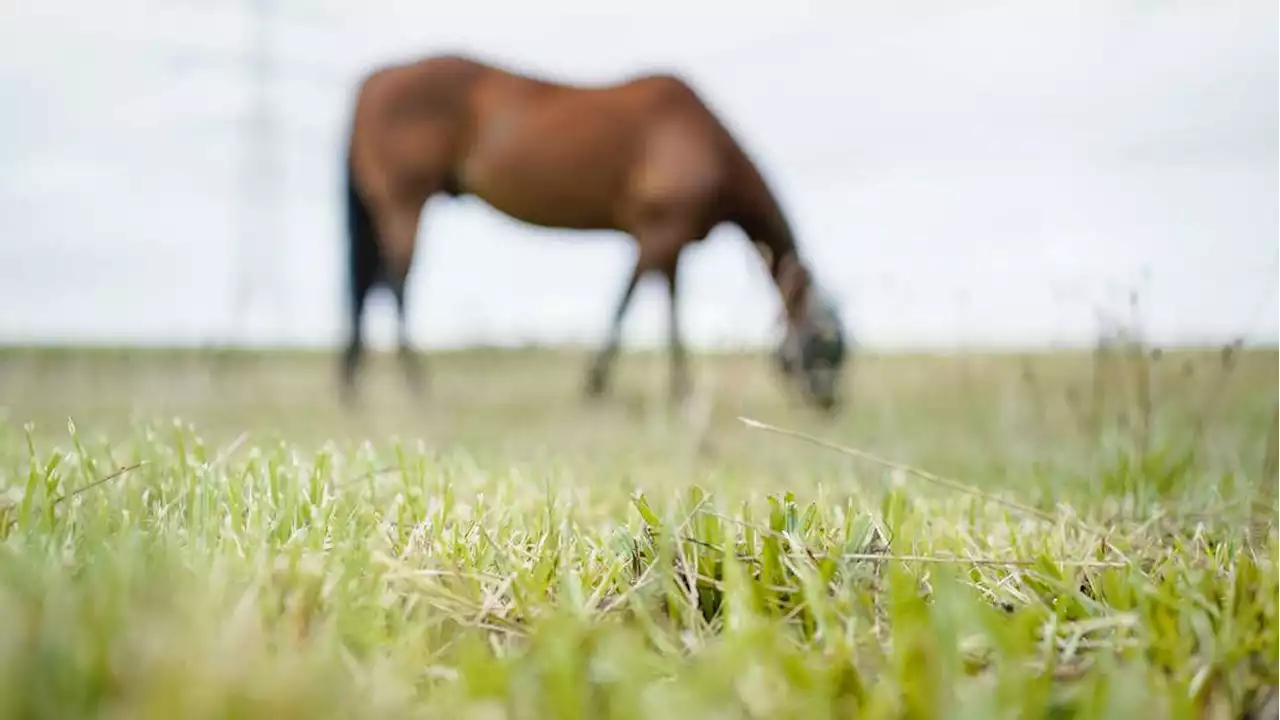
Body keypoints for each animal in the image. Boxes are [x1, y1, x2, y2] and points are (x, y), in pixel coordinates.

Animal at [337, 51, 849, 409]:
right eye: (823, 342)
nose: (829, 402)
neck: (702, 141)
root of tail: (372, 81)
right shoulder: (660, 234)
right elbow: (639, 304)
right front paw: (617, 387)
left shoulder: (661, 240)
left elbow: (651, 305)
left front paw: (648, 388)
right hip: (406, 201)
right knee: (393, 284)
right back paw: (415, 384)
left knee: (368, 286)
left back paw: (352, 385)